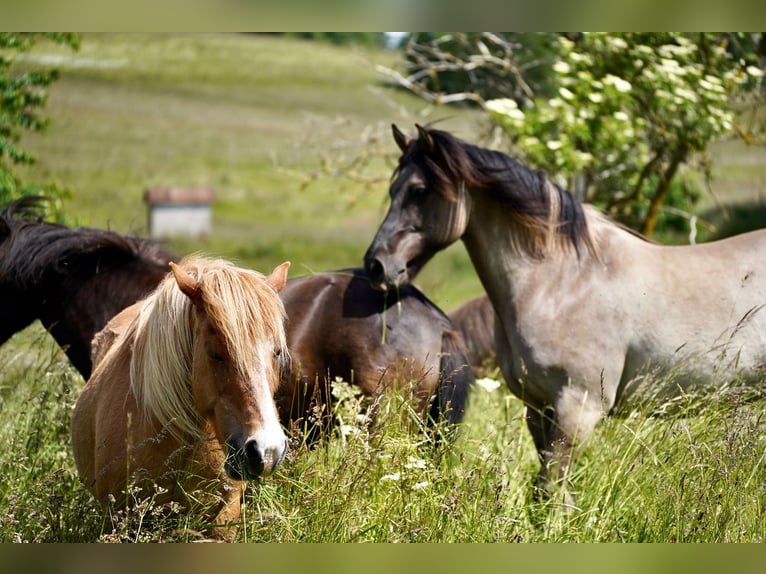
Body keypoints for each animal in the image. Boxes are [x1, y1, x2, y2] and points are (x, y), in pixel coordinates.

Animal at [364, 124, 766, 502]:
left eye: (419, 190)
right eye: (392, 190)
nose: (376, 266)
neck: (562, 282)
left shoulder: (578, 408)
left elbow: (552, 493)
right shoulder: (539, 407)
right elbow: (547, 495)